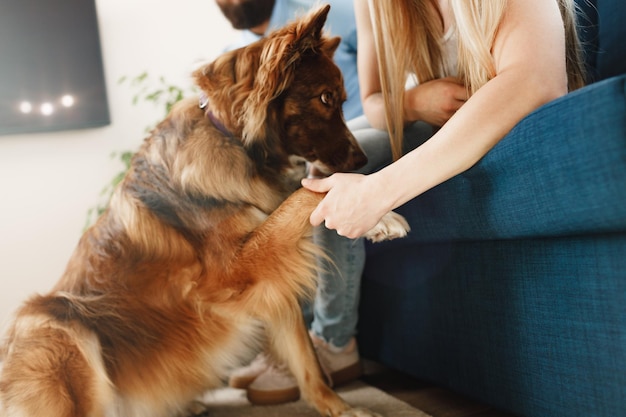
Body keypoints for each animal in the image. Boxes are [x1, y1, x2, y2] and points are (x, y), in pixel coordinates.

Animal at [0, 6, 408, 416]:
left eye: (342, 99)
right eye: (325, 98)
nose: (363, 161)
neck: (236, 143)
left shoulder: (272, 279)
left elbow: (306, 359)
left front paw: (338, 407)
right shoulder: (237, 268)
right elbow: (303, 194)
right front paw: (377, 211)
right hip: (56, 327)